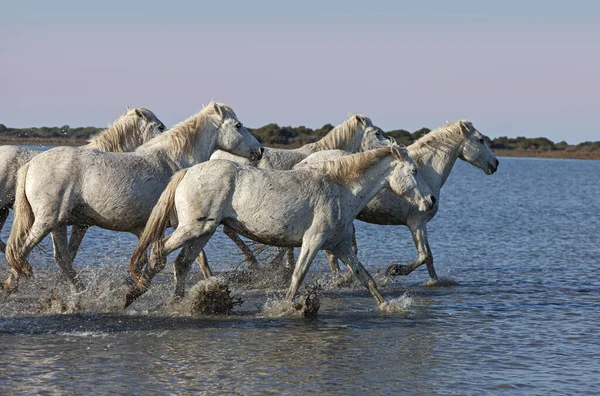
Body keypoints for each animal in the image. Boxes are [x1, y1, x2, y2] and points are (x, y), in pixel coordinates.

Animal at [127, 145, 436, 306]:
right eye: (414, 170)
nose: (431, 200)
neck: (341, 190)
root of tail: (188, 171)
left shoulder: (341, 246)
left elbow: (367, 279)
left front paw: (389, 307)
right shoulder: (313, 242)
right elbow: (297, 277)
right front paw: (287, 308)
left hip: (204, 232)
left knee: (181, 264)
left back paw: (176, 303)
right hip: (192, 229)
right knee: (157, 253)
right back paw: (133, 293)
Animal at [302, 120, 500, 282]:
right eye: (481, 140)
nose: (496, 163)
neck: (426, 171)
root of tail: (305, 162)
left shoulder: (420, 225)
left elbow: (429, 258)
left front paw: (433, 282)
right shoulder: (417, 223)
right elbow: (423, 256)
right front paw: (394, 270)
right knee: (331, 255)